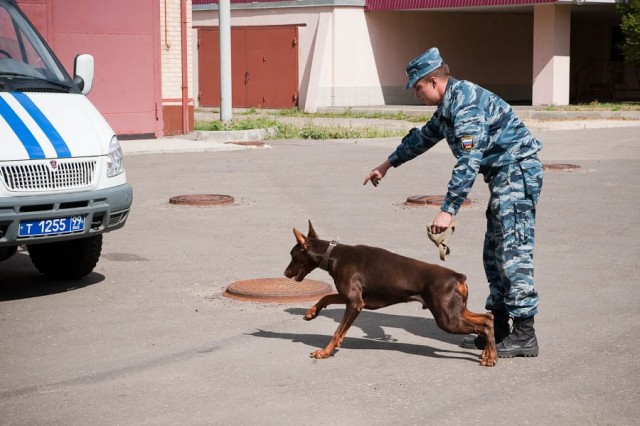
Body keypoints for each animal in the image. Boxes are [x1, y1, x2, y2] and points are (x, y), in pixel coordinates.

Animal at [284, 223, 500, 366]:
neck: (333, 255)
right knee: (488, 319)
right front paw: (311, 312)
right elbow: (326, 297)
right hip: (456, 311)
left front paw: (324, 352)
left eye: (293, 255)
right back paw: (488, 353)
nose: (285, 273)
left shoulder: (355, 303)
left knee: (482, 325)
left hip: (447, 319)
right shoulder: (351, 297)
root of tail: (458, 277)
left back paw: (491, 357)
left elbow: (338, 331)